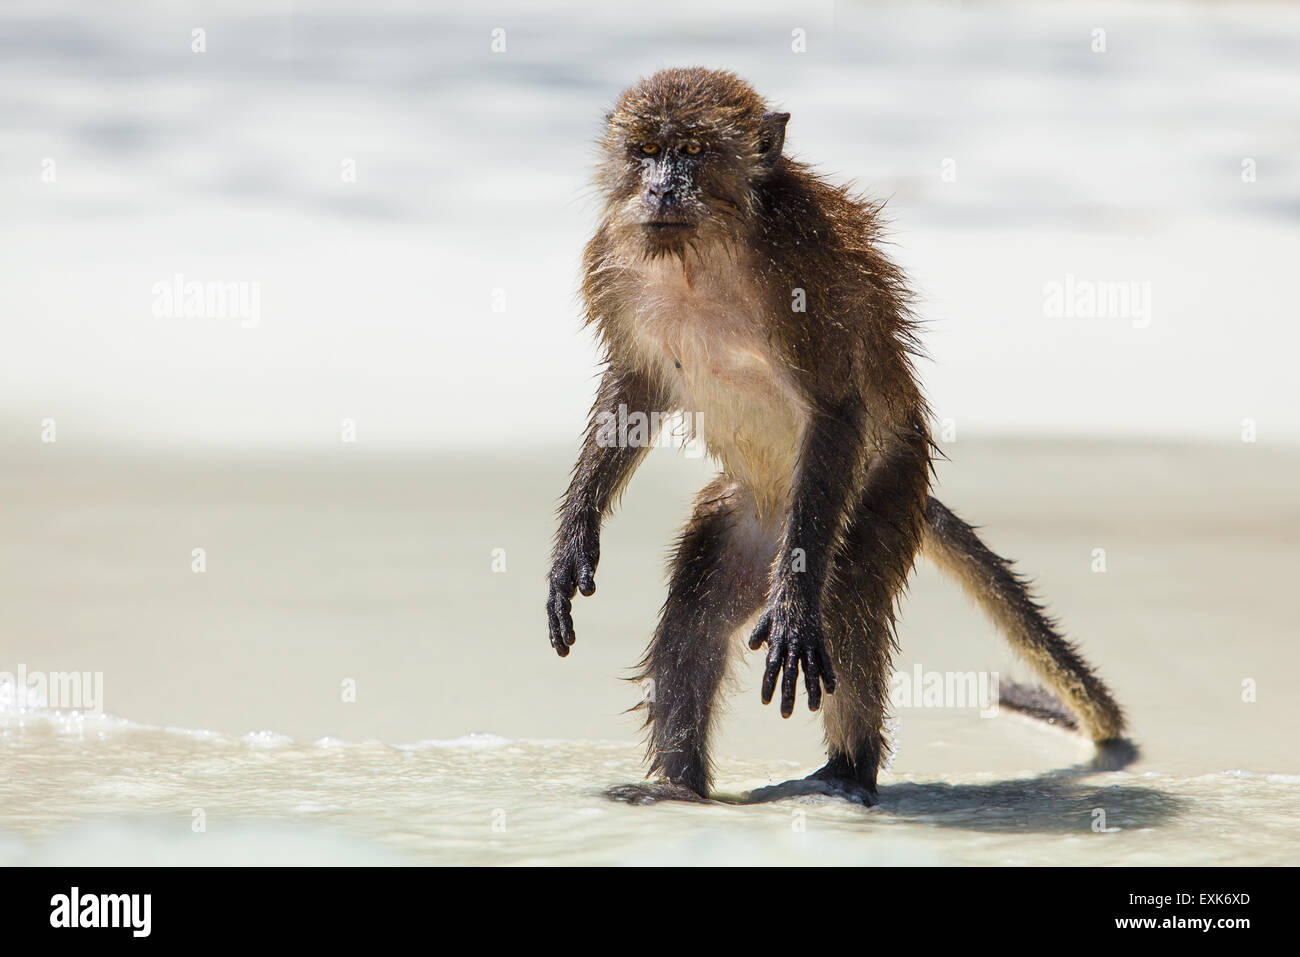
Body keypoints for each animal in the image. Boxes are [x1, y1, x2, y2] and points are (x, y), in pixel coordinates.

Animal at [543, 65, 1123, 806]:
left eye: (694, 152)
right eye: (646, 151)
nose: (663, 189)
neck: (702, 252)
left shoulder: (801, 271)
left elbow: (836, 408)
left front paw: (796, 611)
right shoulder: (615, 259)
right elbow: (634, 391)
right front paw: (573, 541)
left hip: (880, 495)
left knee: (844, 598)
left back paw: (847, 768)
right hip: (746, 520)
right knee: (695, 622)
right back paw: (680, 785)